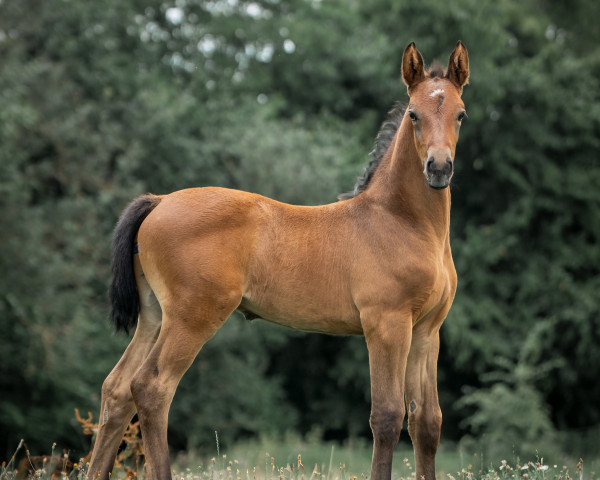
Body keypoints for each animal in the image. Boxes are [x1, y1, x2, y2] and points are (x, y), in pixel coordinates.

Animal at [89, 42, 472, 480]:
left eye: (460, 113)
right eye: (413, 114)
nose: (438, 168)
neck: (401, 221)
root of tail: (159, 201)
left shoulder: (427, 332)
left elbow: (426, 422)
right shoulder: (386, 325)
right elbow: (387, 417)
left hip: (154, 315)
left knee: (117, 389)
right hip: (193, 316)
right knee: (151, 388)